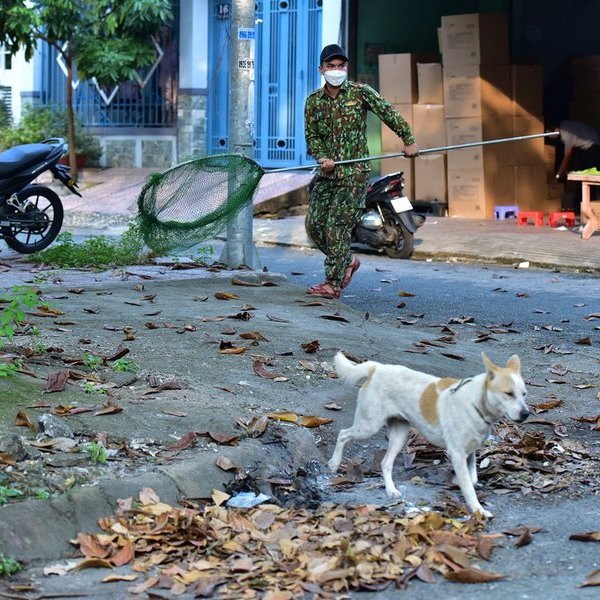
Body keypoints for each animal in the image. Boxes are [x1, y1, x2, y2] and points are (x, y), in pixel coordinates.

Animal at [328, 352, 528, 516]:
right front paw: (478, 510)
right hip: (368, 426)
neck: (476, 402)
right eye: (509, 394)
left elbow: (472, 478)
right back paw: (334, 463)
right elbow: (469, 488)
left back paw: (391, 490)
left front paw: (460, 482)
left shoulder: (469, 452)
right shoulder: (457, 454)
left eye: (524, 394)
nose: (526, 413)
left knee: (385, 463)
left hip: (399, 436)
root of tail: (376, 368)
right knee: (343, 434)